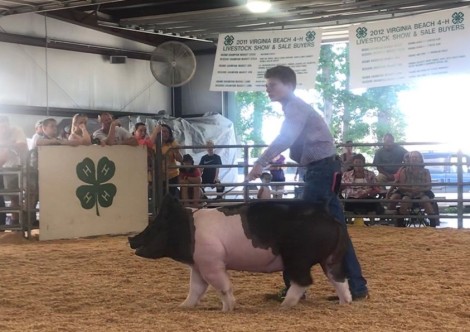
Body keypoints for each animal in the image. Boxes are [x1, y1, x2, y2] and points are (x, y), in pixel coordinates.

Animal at [129, 195, 352, 312]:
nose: (131, 239)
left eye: (156, 226)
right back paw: (344, 303)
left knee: (303, 281)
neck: (188, 229)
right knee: (339, 279)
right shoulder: (200, 265)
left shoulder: (212, 263)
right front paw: (183, 306)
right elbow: (196, 288)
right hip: (332, 258)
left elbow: (222, 286)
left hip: (297, 258)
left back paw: (284, 306)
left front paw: (227, 309)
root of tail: (329, 217)